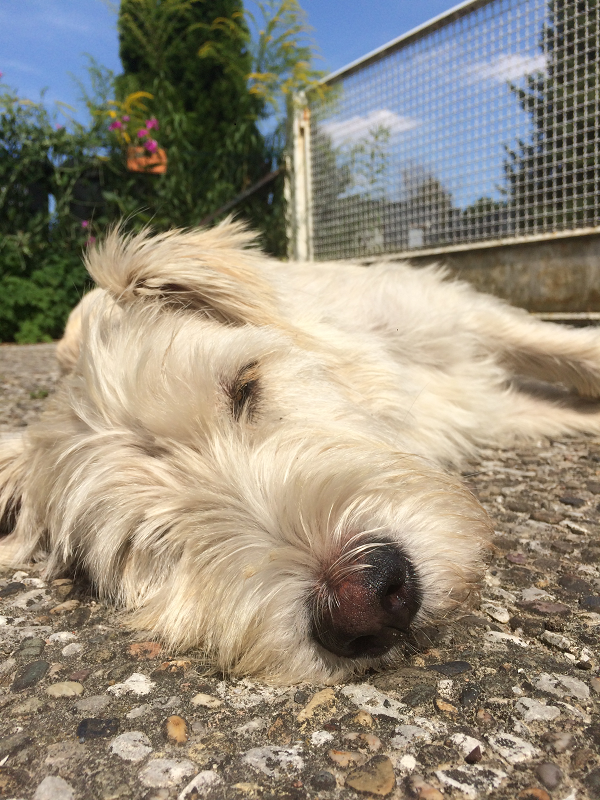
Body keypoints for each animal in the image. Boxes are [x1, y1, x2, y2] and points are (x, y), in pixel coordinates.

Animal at [1, 220, 600, 680]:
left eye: (245, 385)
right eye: (146, 543)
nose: (366, 601)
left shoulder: (456, 317)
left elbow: (575, 352)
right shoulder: (496, 408)